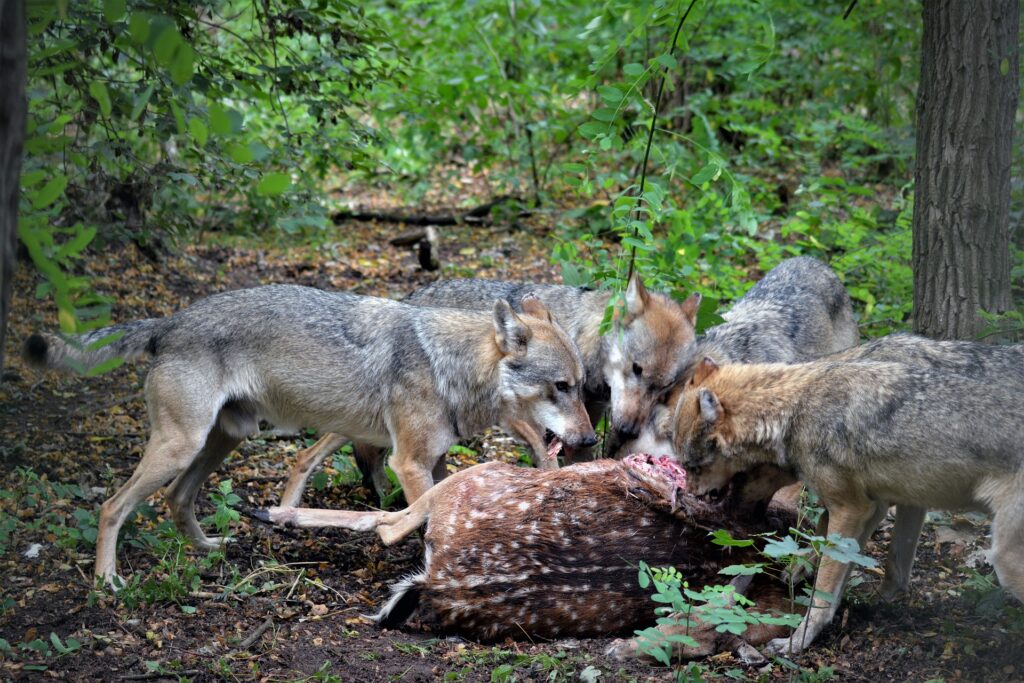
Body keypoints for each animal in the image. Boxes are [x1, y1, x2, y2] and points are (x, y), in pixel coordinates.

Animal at [24, 286, 598, 585]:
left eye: (583, 386)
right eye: (561, 387)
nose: (592, 443)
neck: (450, 367)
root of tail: (170, 321)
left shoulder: (433, 463)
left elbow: (436, 513)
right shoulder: (408, 464)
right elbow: (423, 517)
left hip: (222, 441)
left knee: (176, 499)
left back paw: (209, 548)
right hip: (182, 447)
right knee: (111, 507)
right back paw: (107, 582)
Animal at [282, 272, 704, 507]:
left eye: (664, 387)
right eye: (636, 369)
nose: (629, 430)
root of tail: (412, 296)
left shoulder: (581, 430)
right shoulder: (534, 427)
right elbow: (549, 464)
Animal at [671, 348, 1024, 655]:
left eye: (692, 467)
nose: (691, 495)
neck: (794, 409)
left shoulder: (850, 509)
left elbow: (822, 593)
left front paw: (796, 643)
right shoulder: (873, 508)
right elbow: (858, 573)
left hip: (1004, 559)